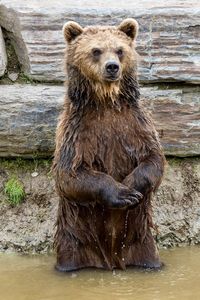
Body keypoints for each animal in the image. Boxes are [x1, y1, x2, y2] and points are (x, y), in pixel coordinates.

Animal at [52, 18, 165, 272]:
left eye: (120, 50)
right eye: (96, 50)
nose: (112, 66)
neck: (105, 102)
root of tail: (110, 261)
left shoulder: (136, 126)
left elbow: (153, 159)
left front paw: (132, 188)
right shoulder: (77, 133)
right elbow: (69, 174)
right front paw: (122, 193)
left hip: (141, 241)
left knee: (148, 255)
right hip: (75, 239)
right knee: (69, 256)